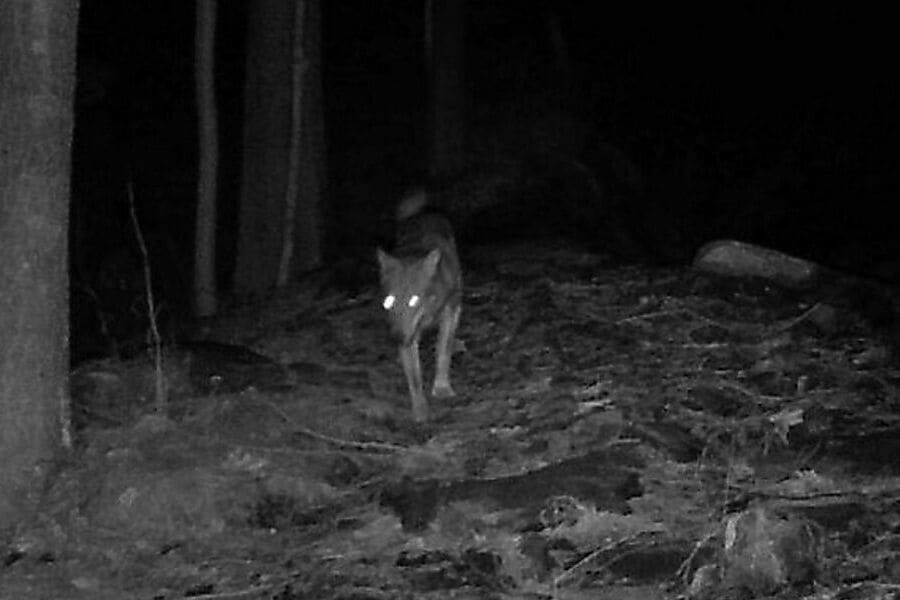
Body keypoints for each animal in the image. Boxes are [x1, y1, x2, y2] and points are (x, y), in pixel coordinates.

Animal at [376, 190, 462, 422]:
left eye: (414, 300)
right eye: (389, 301)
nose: (396, 338)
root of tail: (421, 212)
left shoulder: (450, 311)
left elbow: (443, 351)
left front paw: (442, 388)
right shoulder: (408, 334)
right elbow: (414, 377)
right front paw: (420, 410)